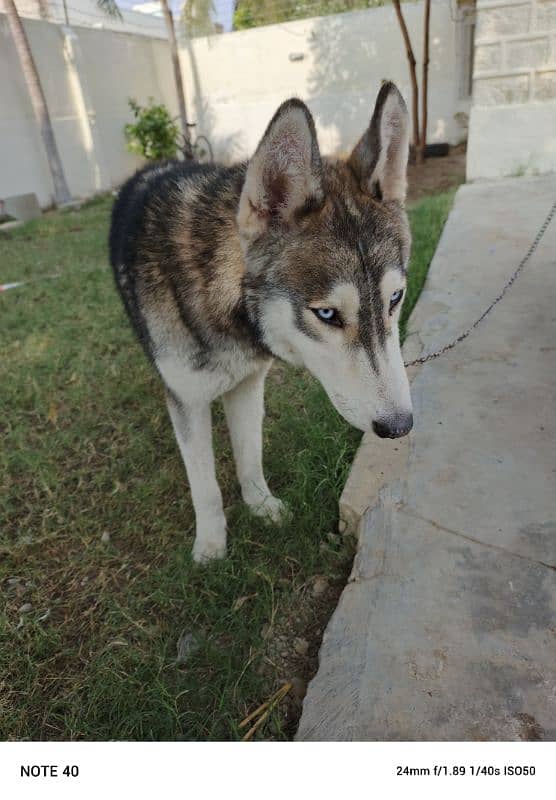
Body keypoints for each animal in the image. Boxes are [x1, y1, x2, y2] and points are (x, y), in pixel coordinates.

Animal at [109, 79, 412, 556]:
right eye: (327, 314)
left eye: (394, 299)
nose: (399, 427)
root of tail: (153, 166)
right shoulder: (188, 401)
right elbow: (205, 486)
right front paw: (210, 549)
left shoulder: (250, 385)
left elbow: (250, 457)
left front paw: (262, 507)